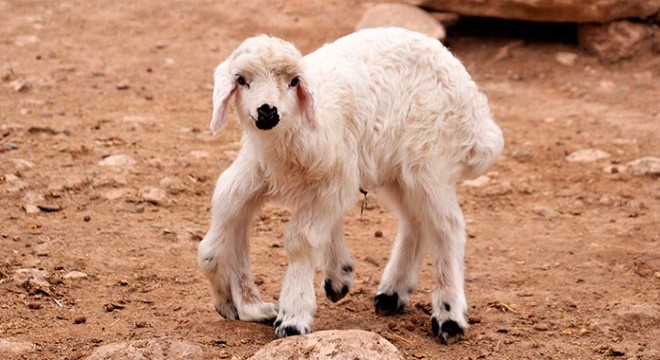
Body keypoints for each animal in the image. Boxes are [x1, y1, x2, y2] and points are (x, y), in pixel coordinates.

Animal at [197, 28, 506, 344]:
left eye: (294, 81)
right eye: (240, 79)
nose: (267, 112)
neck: (290, 136)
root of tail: (471, 98)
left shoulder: (336, 181)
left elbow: (301, 238)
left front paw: (293, 317)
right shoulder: (257, 171)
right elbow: (223, 214)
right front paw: (236, 300)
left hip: (428, 162)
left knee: (447, 228)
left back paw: (449, 316)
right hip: (395, 169)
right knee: (415, 222)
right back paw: (392, 293)